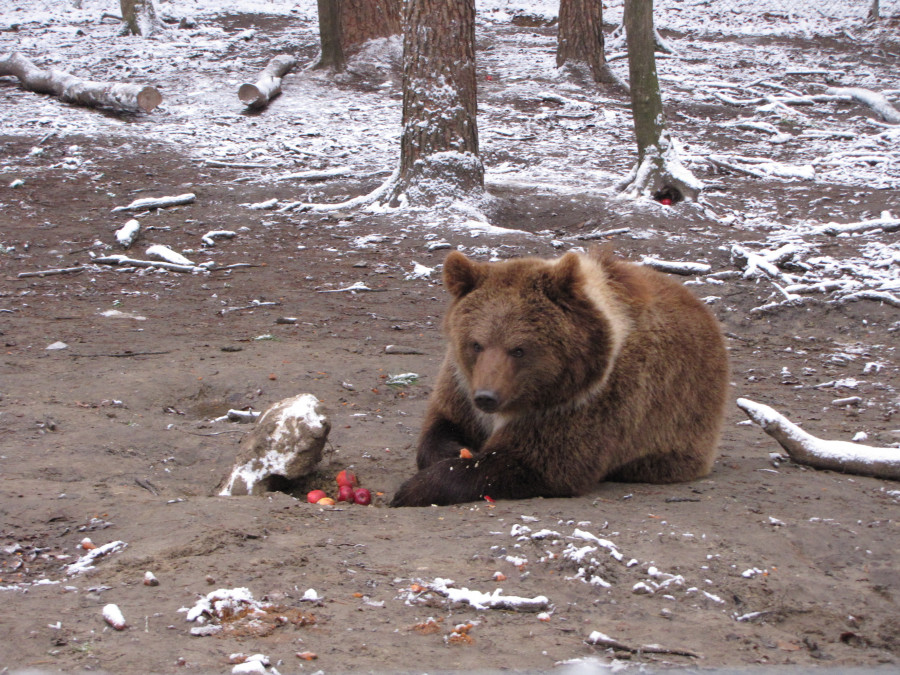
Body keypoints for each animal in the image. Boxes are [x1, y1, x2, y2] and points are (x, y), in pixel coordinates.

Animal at [390, 248, 728, 508]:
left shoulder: (591, 400)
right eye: (476, 344)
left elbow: (539, 462)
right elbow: (442, 424)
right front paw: (452, 452)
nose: (487, 397)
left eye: (519, 349)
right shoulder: (461, 383)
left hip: (680, 427)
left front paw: (412, 490)